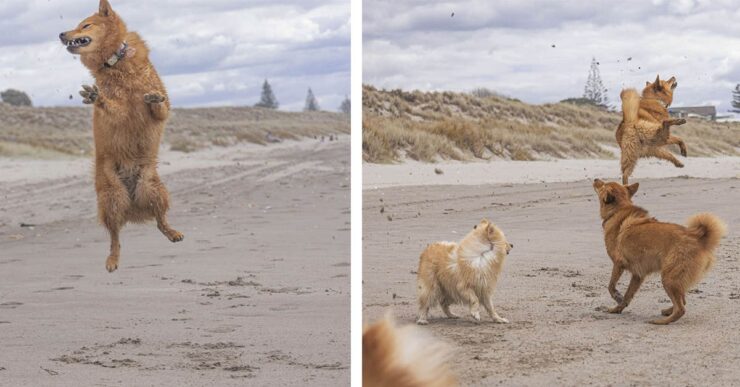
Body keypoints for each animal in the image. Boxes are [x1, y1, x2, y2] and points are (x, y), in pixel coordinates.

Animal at [59, 0, 184, 272]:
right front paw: (96, 97)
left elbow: (159, 104)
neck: (116, 62)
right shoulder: (121, 115)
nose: (61, 34)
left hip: (153, 189)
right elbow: (112, 107)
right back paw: (112, 260)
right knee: (115, 236)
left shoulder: (159, 112)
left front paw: (153, 98)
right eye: (78, 25)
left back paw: (172, 232)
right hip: (112, 197)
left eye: (85, 25)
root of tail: (133, 206)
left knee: (159, 220)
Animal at [592, 180, 724, 326]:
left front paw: (617, 297)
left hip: (669, 278)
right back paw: (667, 311)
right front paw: (617, 308)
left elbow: (611, 286)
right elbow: (628, 295)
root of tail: (698, 238)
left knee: (681, 308)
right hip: (674, 279)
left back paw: (661, 321)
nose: (595, 179)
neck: (618, 210)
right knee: (682, 300)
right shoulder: (638, 275)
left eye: (603, 185)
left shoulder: (618, 264)